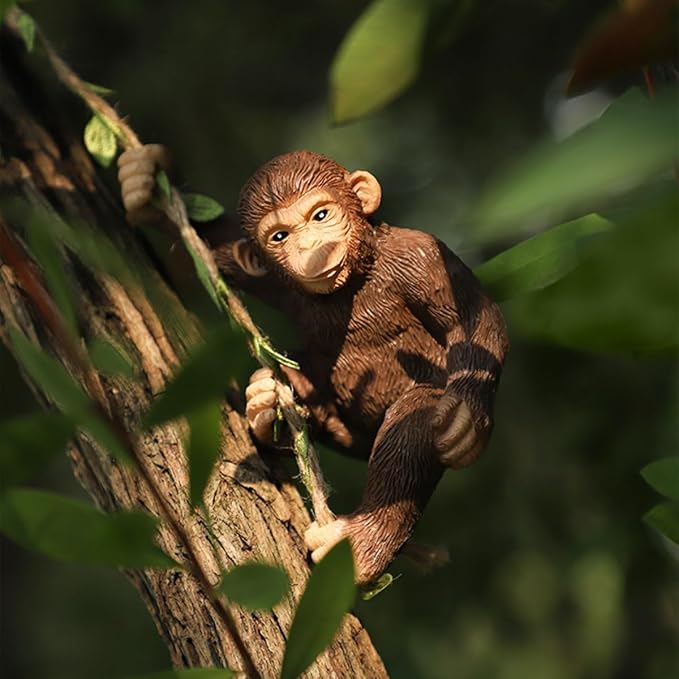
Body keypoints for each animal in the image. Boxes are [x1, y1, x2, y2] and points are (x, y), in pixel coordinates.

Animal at [118, 148, 509, 585]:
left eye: (320, 215)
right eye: (280, 237)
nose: (310, 247)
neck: (354, 280)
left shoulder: (421, 257)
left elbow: (469, 319)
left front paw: (466, 414)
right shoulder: (269, 276)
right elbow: (212, 249)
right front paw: (147, 180)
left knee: (411, 431)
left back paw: (360, 546)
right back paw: (264, 405)